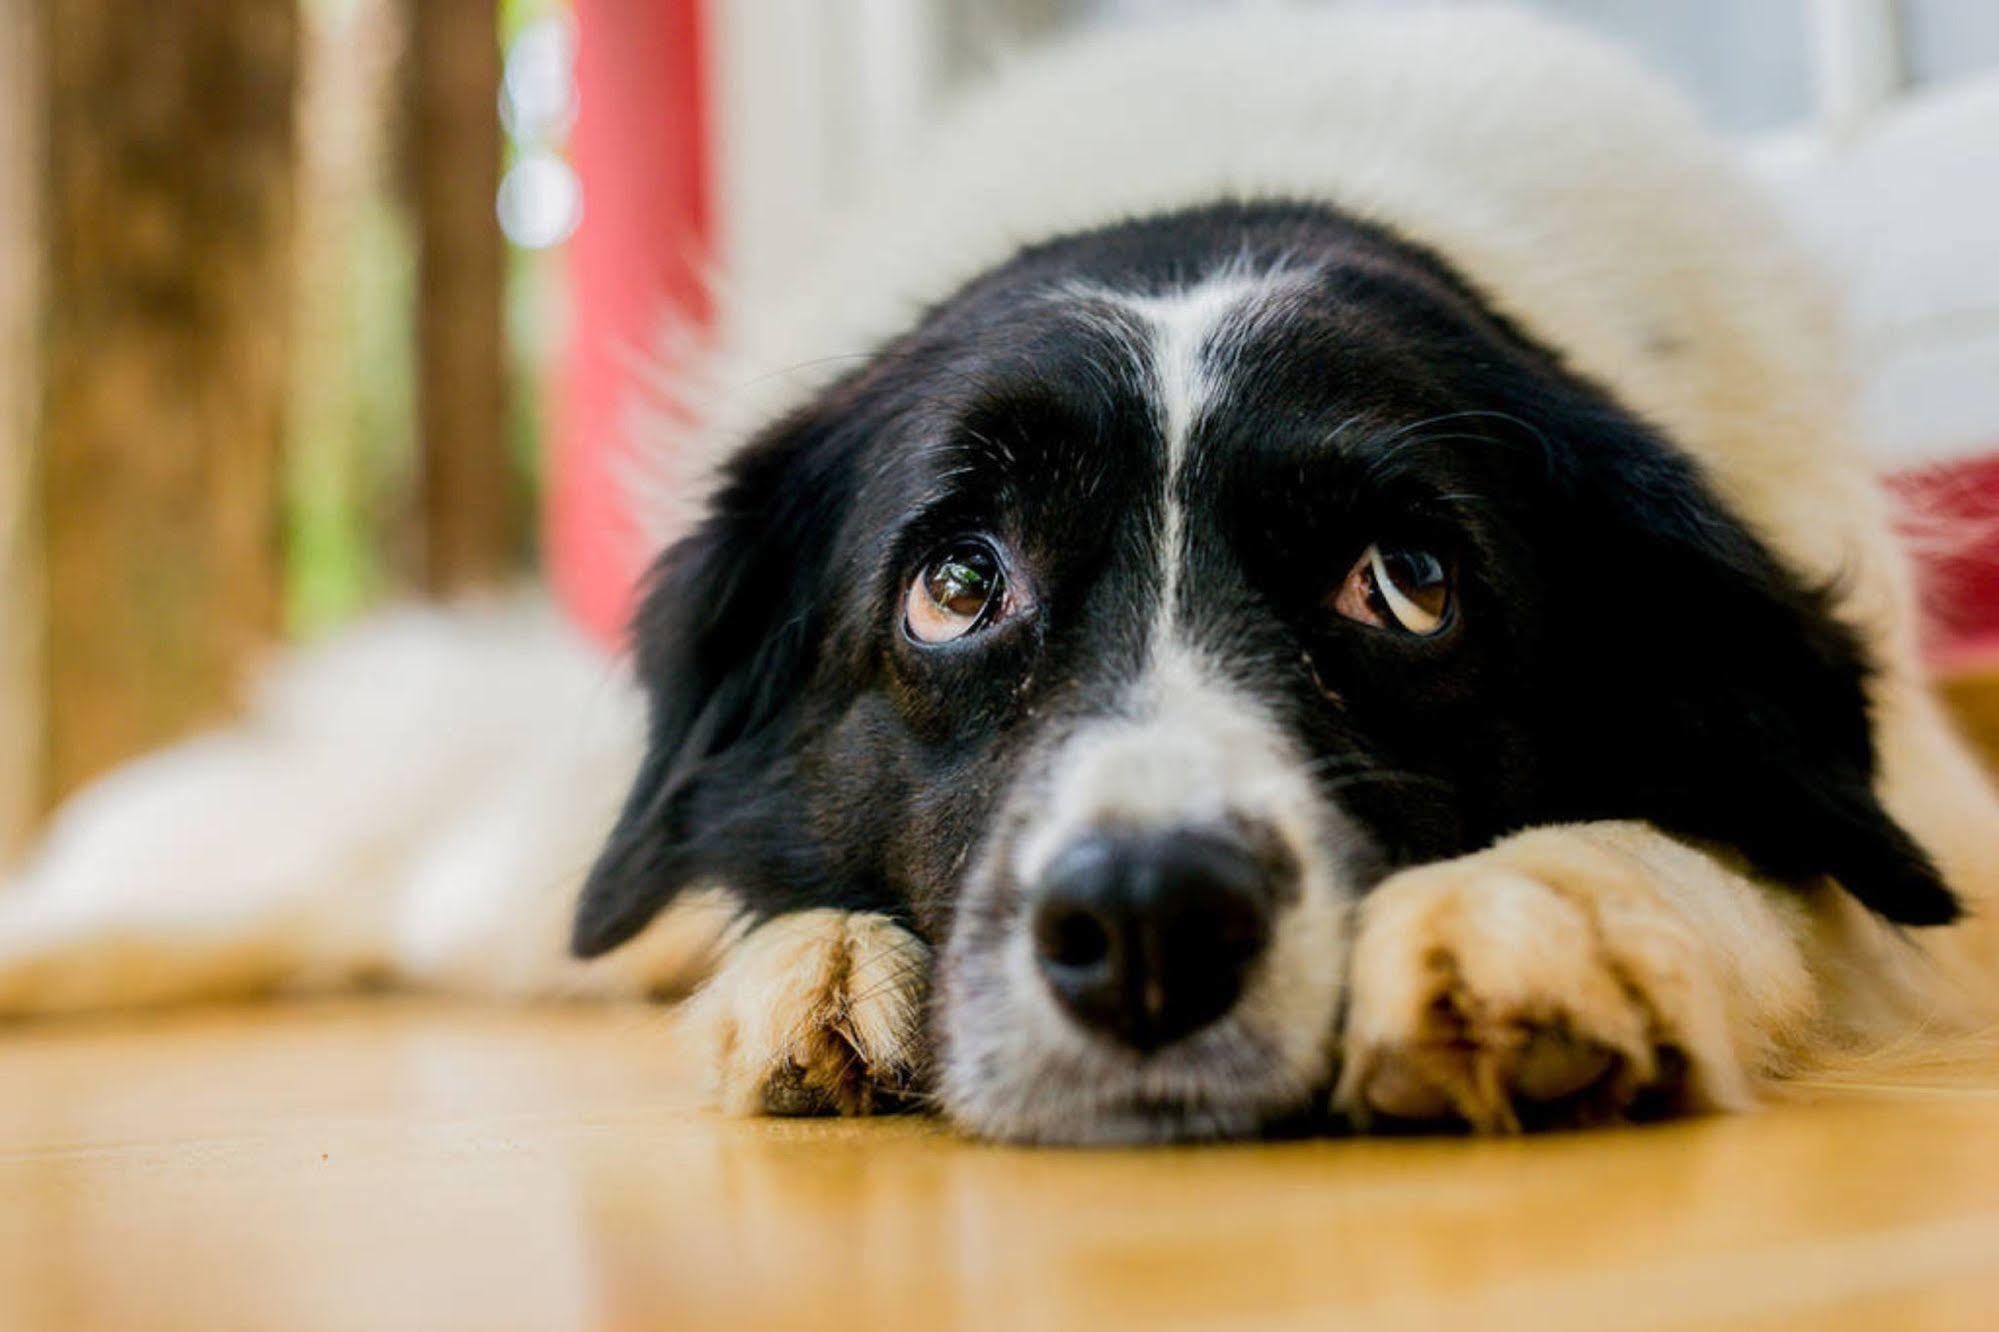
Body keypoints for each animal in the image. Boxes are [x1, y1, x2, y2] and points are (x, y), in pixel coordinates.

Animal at [3, 5, 1999, 1144]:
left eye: (1408, 582)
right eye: (955, 584)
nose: (1149, 922)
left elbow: (1764, 875)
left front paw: (1553, 905)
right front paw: (810, 968)